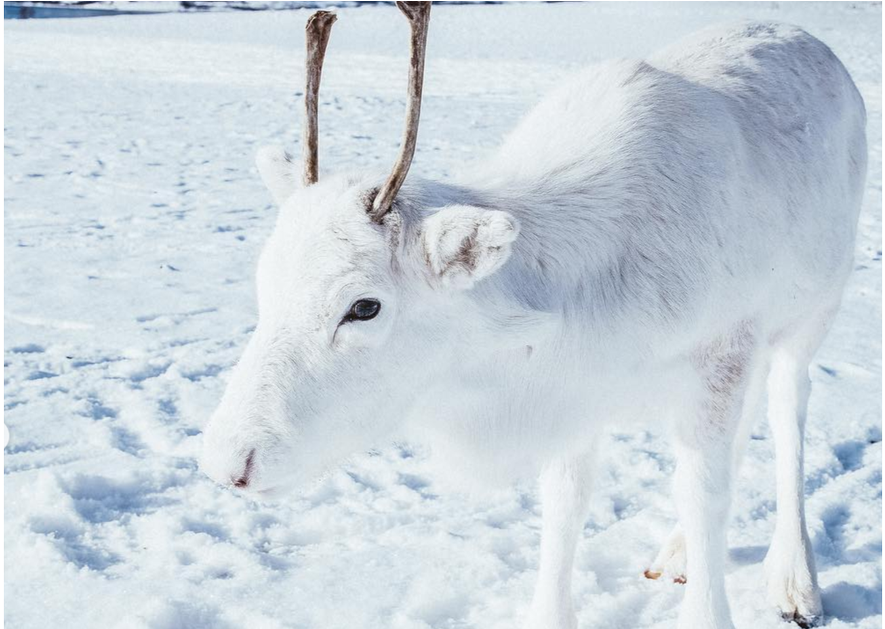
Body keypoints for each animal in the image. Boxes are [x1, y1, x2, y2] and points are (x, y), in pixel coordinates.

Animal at [200, 3, 868, 628]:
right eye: (265, 282)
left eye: (364, 307)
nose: (228, 463)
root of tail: (816, 44)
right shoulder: (576, 394)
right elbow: (565, 503)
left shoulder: (719, 356)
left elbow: (705, 494)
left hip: (814, 312)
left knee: (786, 410)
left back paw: (795, 579)